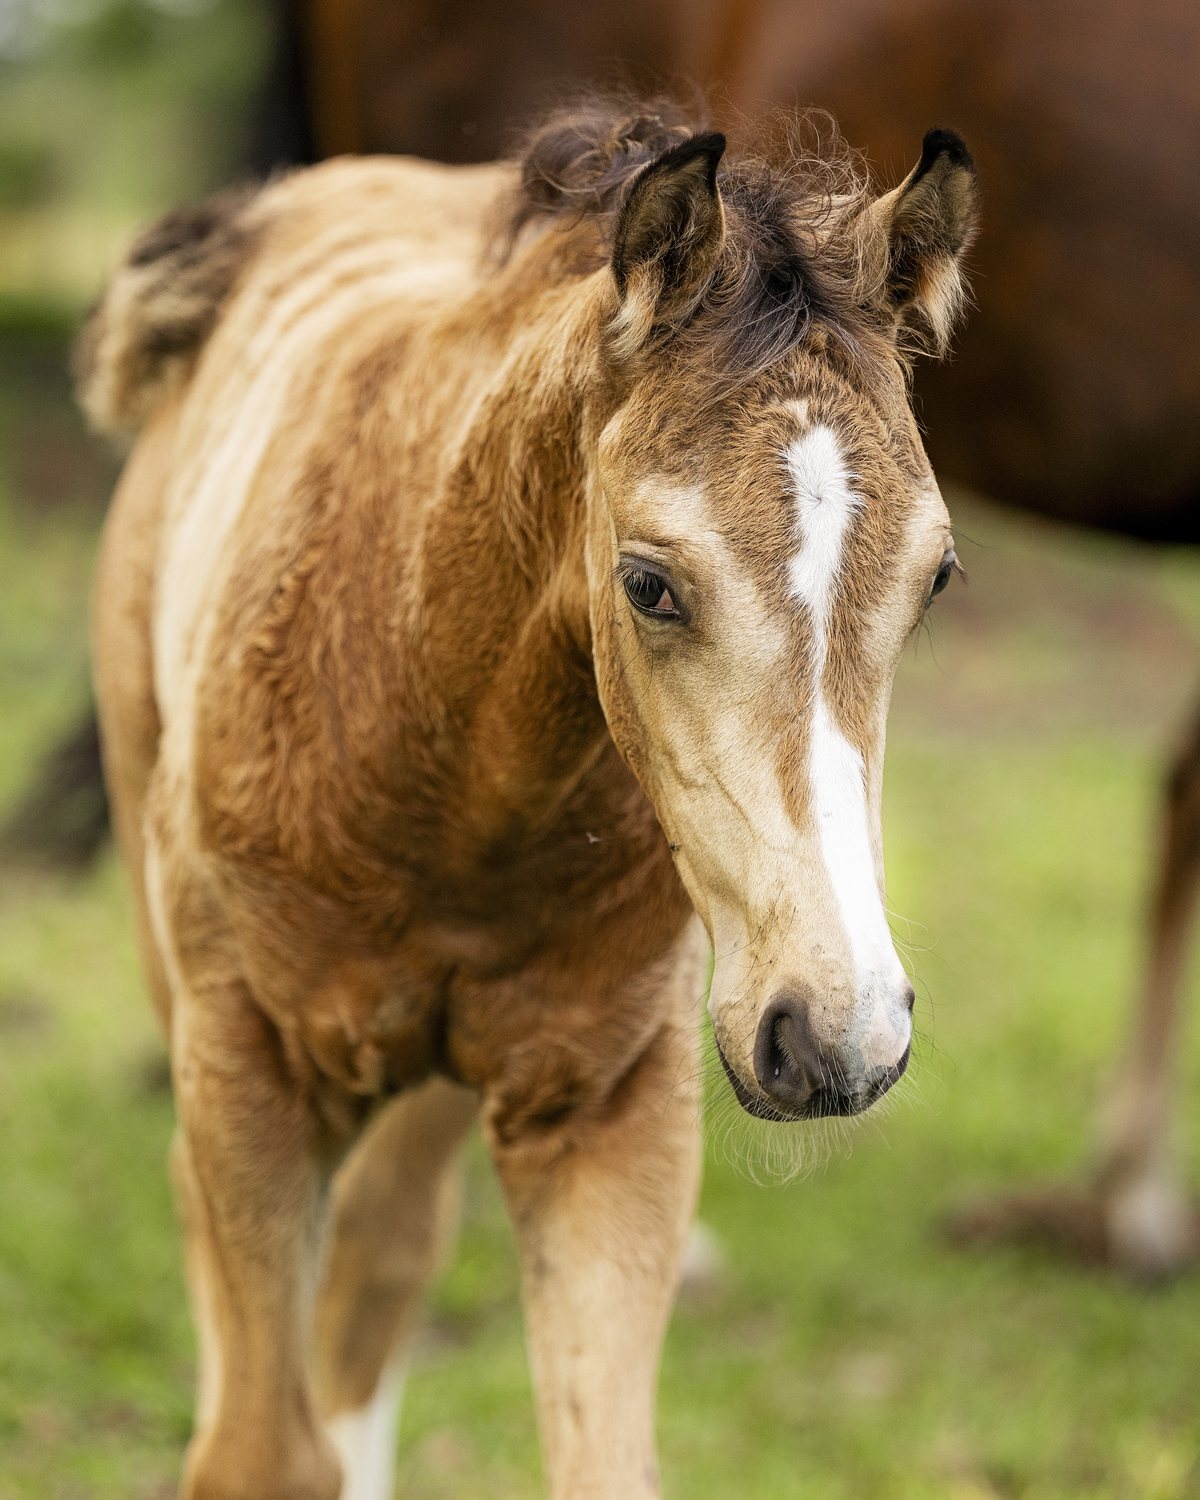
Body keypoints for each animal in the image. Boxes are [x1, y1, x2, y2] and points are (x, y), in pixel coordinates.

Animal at [84, 98, 976, 1498]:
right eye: (649, 583)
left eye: (936, 577)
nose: (840, 1038)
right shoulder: (249, 1072)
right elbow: (256, 1453)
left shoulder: (607, 1106)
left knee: (379, 1268)